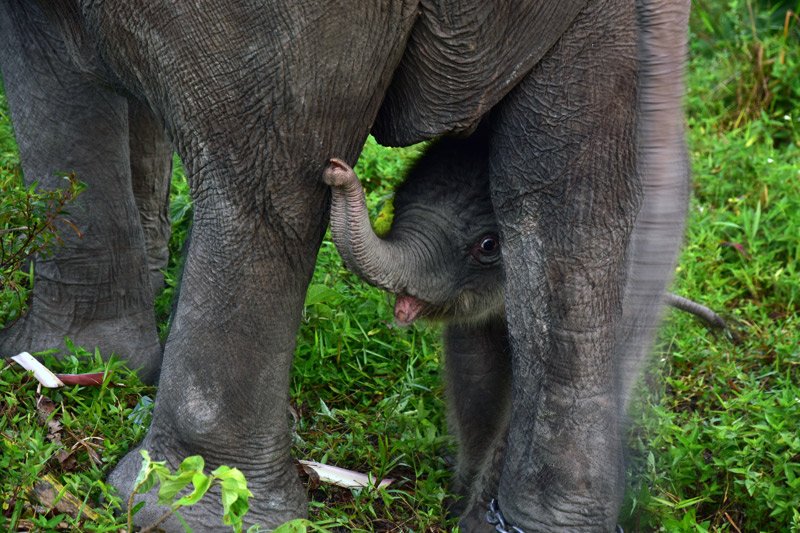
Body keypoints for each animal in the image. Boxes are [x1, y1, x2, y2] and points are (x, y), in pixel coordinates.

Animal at [320, 132, 724, 520]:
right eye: (399, 200)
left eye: (488, 245)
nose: (337, 169)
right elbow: (475, 374)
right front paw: (456, 501)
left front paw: (473, 517)